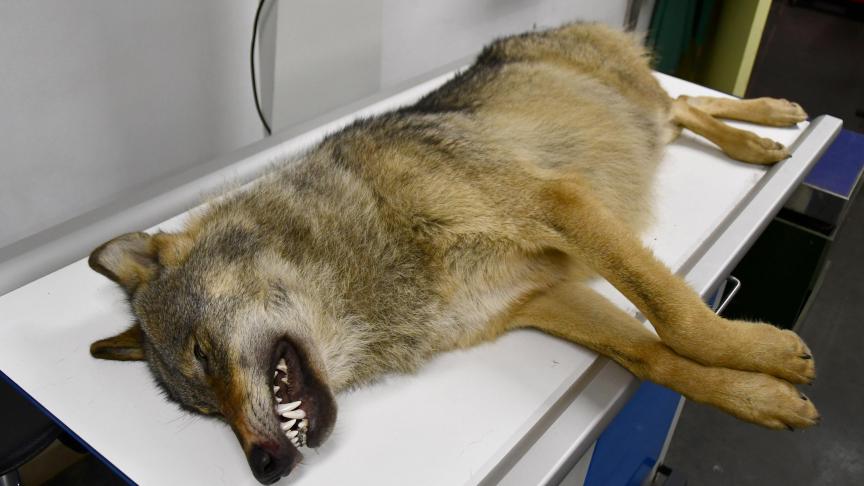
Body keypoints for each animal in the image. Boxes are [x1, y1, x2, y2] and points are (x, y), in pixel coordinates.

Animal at [87, 23, 818, 484]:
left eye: (204, 356)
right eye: (205, 414)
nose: (262, 468)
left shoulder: (559, 204)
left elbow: (680, 317)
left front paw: (764, 351)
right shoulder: (540, 300)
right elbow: (652, 356)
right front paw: (761, 396)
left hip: (637, 107)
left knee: (683, 102)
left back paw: (769, 124)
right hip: (642, 124)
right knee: (687, 105)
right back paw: (766, 137)